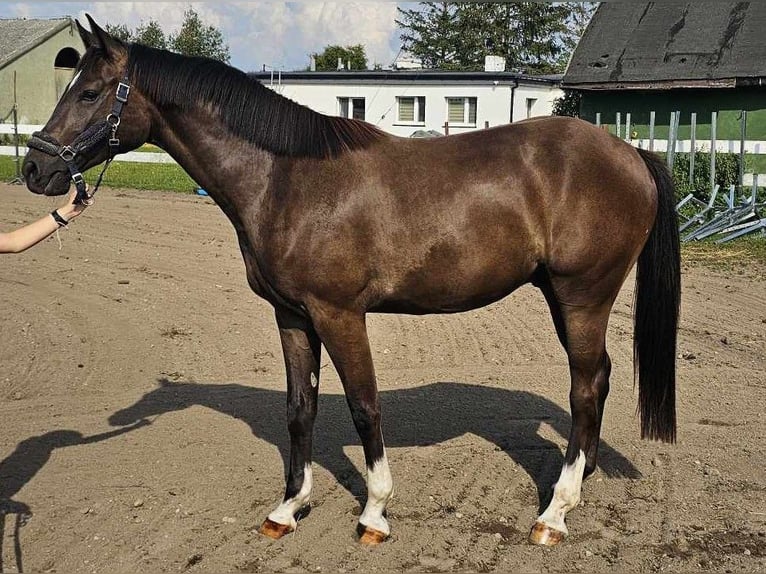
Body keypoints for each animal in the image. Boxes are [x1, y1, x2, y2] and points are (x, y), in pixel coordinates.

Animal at [24, 16, 680, 548]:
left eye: (90, 91)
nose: (35, 168)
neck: (287, 178)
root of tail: (630, 153)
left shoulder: (339, 314)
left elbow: (365, 408)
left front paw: (375, 514)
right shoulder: (292, 316)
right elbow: (300, 408)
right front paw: (288, 508)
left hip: (582, 296)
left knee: (585, 388)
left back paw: (555, 513)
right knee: (598, 380)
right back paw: (579, 481)